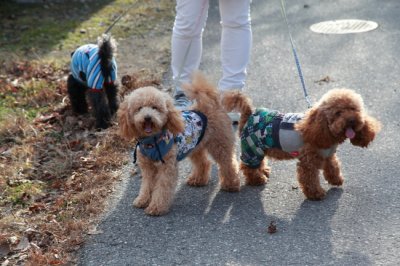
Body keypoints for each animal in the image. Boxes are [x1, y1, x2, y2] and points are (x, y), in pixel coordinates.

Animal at [222, 89, 382, 200]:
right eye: (338, 113)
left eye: (353, 109)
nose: (352, 120)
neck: (321, 129)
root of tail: (249, 114)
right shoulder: (308, 161)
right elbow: (309, 178)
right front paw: (316, 194)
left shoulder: (328, 155)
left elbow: (333, 167)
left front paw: (336, 180)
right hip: (252, 148)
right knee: (246, 166)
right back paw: (257, 179)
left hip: (260, 148)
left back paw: (263, 170)